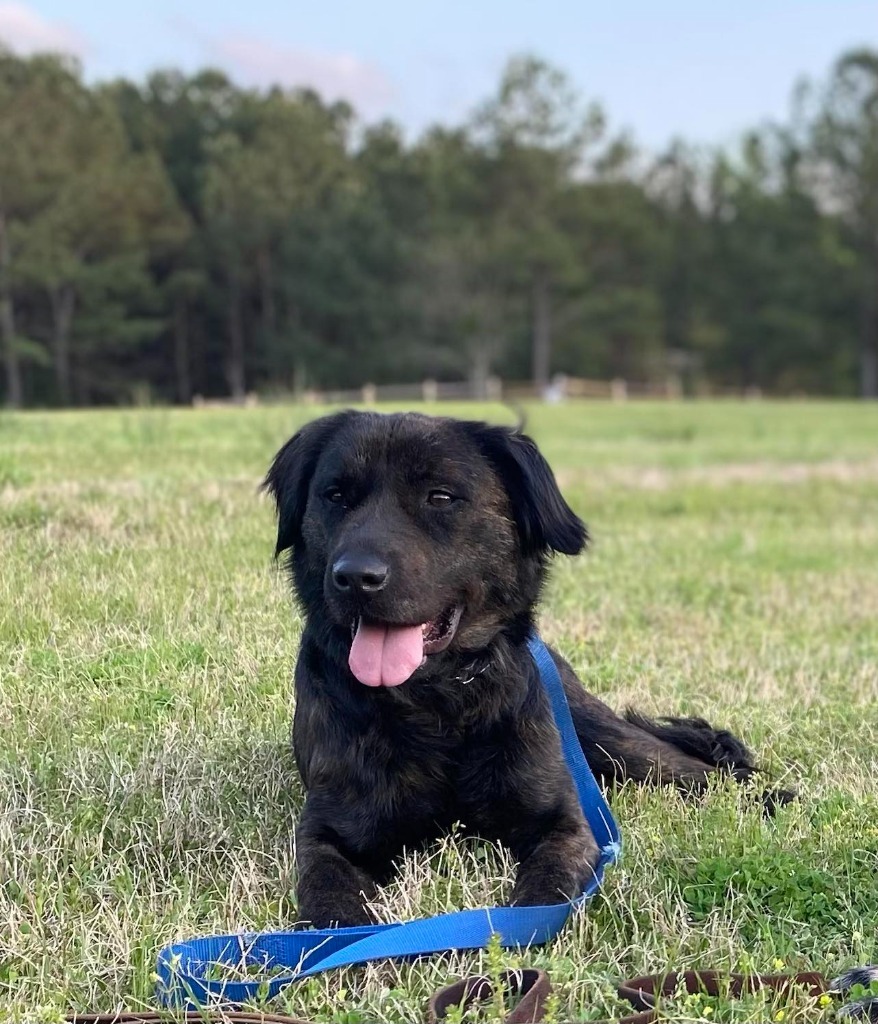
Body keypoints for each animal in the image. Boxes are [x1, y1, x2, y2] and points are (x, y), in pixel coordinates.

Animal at [264, 409, 778, 929]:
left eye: (440, 497)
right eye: (336, 496)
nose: (355, 577)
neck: (436, 705)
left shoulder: (563, 822)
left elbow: (540, 897)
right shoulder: (328, 835)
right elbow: (332, 905)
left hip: (612, 744)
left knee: (702, 770)